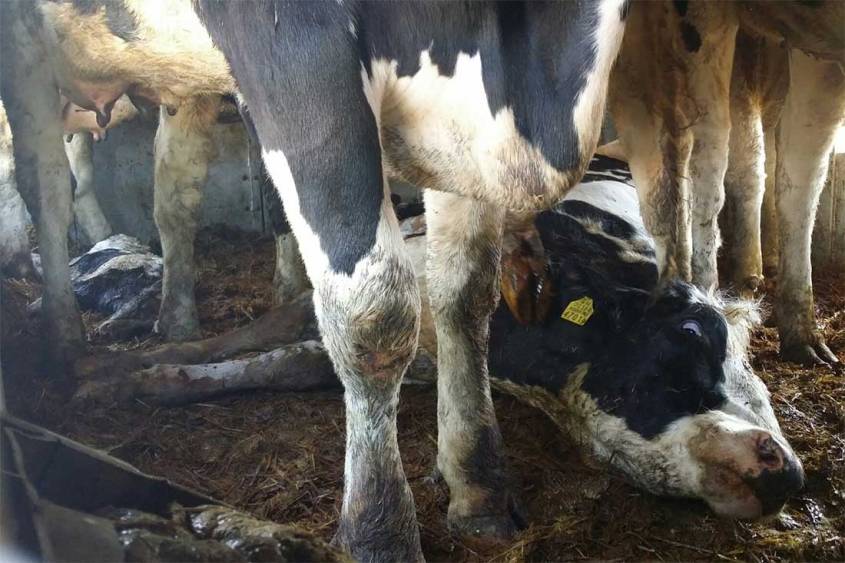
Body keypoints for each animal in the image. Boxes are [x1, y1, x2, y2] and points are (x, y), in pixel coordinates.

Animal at [0, 1, 628, 561]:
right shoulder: (295, 50)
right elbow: (373, 314)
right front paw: (379, 533)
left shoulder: (461, 125)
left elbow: (466, 294)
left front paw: (478, 488)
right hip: (27, 56)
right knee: (46, 186)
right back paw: (63, 336)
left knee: (175, 190)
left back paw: (173, 319)